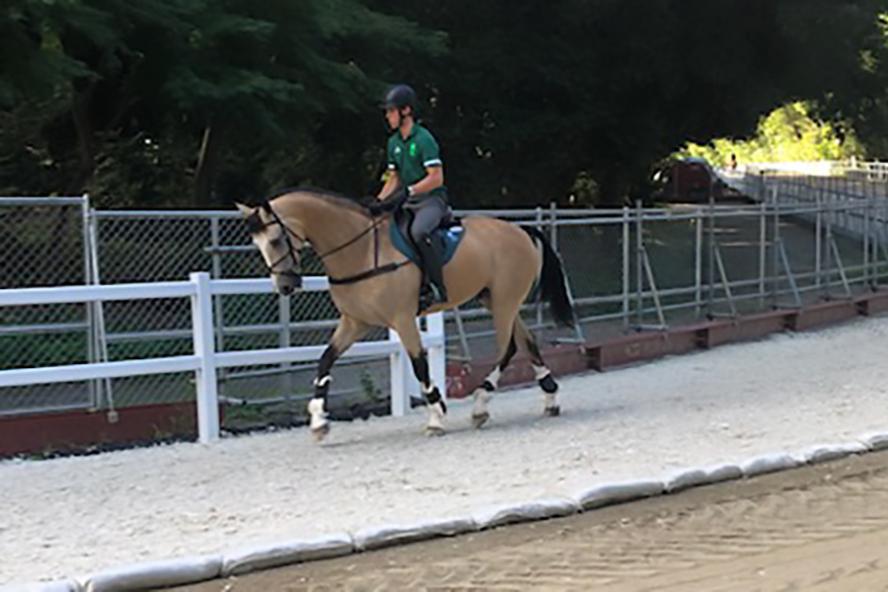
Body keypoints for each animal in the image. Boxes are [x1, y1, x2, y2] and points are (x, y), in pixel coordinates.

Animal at [234, 187, 576, 442]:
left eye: (276, 240)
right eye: (257, 243)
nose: (286, 286)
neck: (360, 250)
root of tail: (520, 230)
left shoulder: (402, 319)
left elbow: (419, 364)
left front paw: (436, 416)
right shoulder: (354, 323)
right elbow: (325, 360)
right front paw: (319, 420)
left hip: (505, 301)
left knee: (509, 347)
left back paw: (481, 404)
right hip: (497, 300)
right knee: (526, 341)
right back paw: (550, 398)